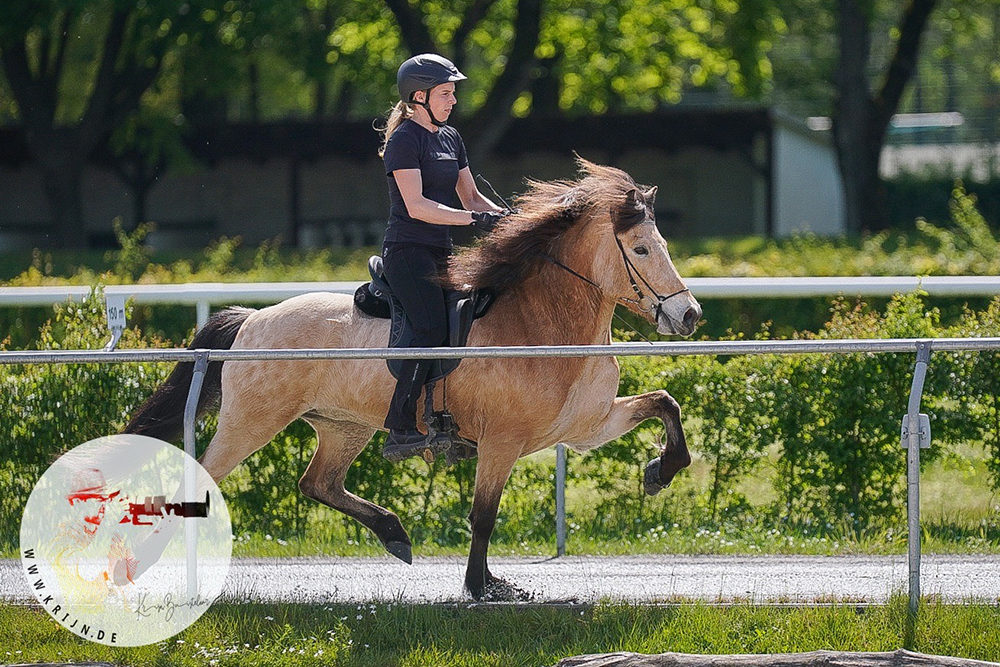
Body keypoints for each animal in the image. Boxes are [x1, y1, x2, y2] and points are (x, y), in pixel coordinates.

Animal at [125, 159, 704, 604]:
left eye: (663, 243)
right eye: (642, 249)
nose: (690, 315)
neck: (544, 326)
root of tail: (252, 319)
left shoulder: (586, 428)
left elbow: (665, 403)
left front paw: (660, 471)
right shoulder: (502, 441)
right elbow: (483, 516)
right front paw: (482, 588)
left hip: (343, 425)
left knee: (318, 483)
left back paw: (395, 534)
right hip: (252, 422)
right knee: (198, 479)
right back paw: (139, 563)